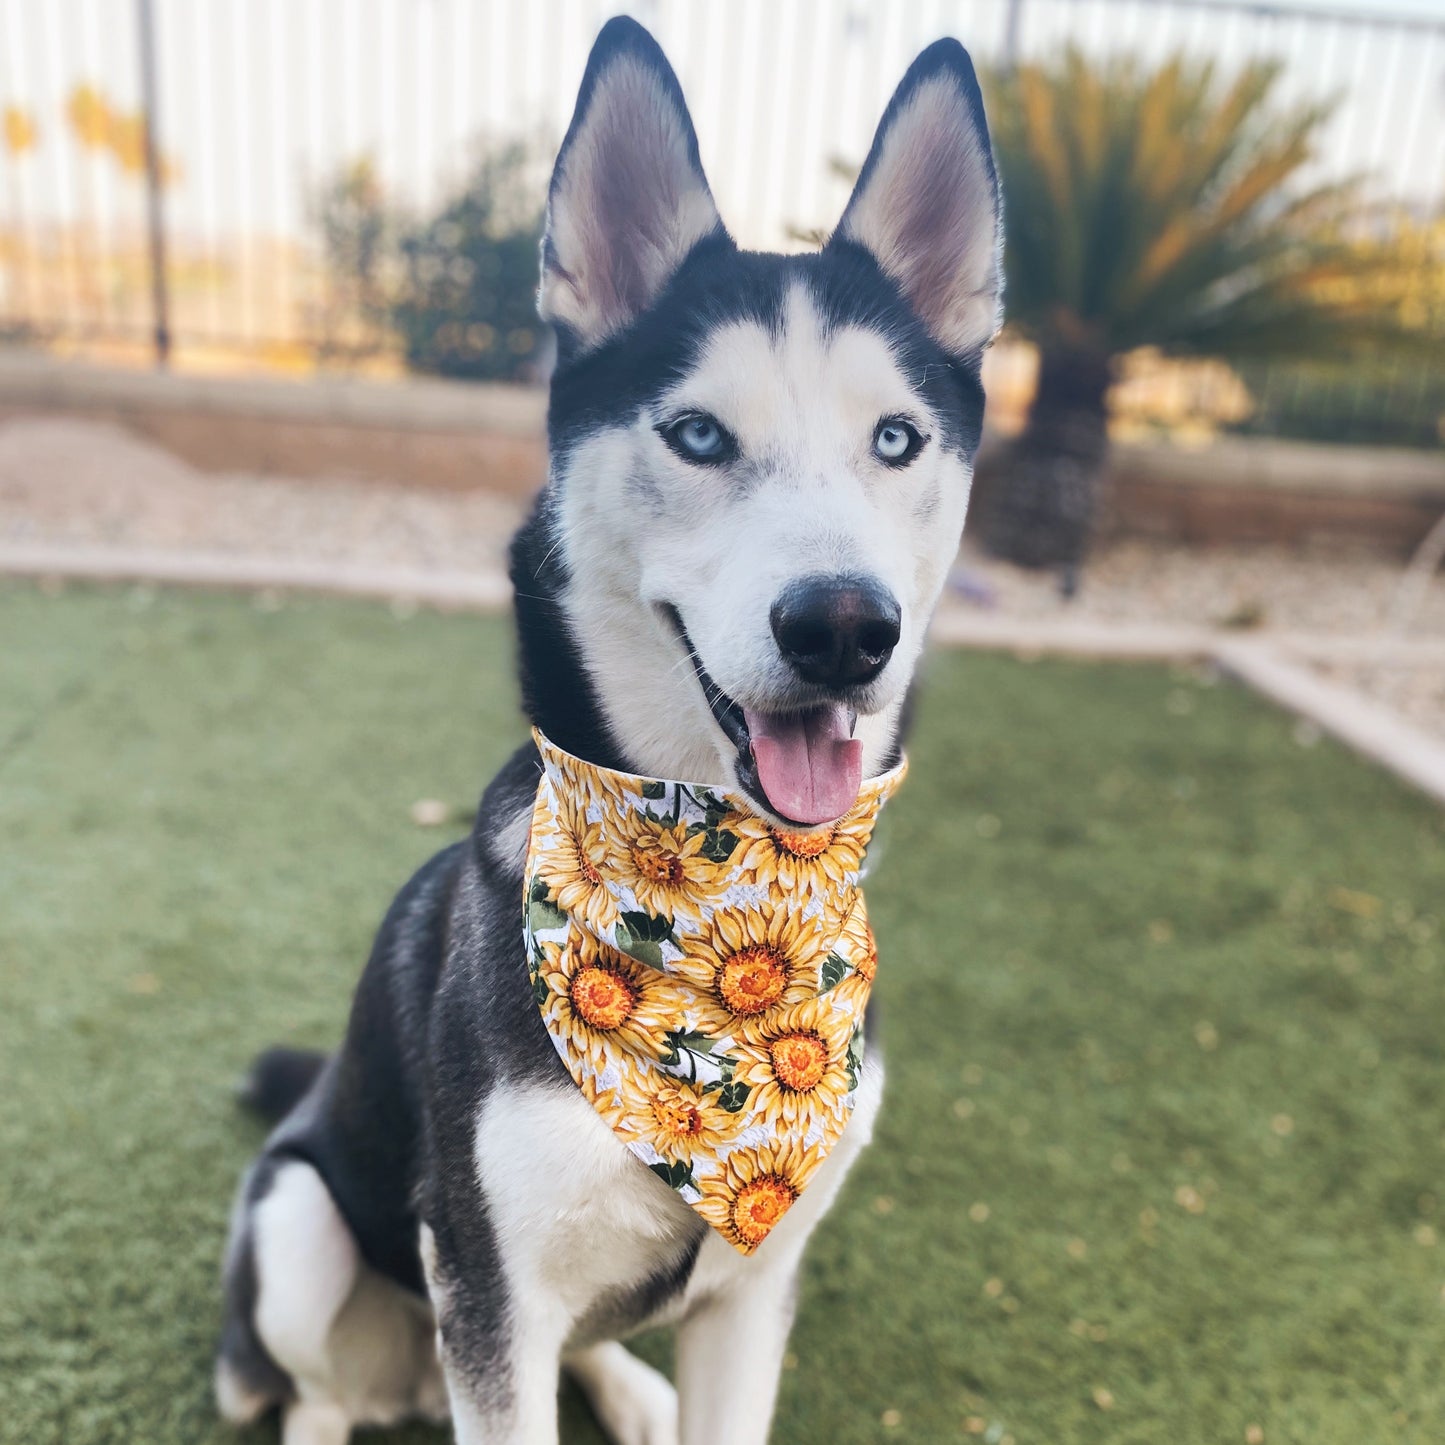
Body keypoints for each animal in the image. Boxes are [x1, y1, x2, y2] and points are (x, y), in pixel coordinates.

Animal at [216, 14, 1005, 1445]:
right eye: (695, 433)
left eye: (895, 438)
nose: (844, 627)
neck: (704, 888)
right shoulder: (488, 1284)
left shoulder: (756, 1284)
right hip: (303, 1223)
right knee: (309, 1391)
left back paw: (629, 1387)